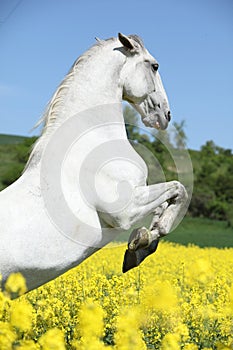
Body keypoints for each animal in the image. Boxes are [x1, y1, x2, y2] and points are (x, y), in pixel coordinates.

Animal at [0, 34, 188, 294]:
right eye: (154, 66)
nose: (165, 115)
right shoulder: (126, 210)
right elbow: (180, 190)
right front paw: (145, 240)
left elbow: (166, 203)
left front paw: (141, 243)